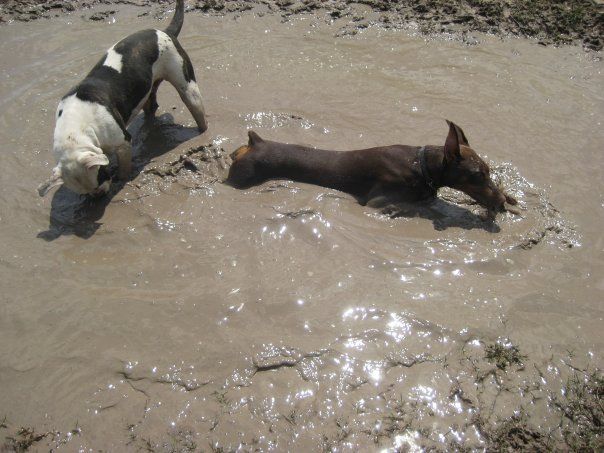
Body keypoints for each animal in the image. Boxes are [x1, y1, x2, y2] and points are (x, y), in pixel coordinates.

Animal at [39, 0, 208, 198]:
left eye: (100, 176)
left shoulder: (122, 143)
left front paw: (121, 180)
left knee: (197, 111)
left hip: (187, 86)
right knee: (151, 107)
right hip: (147, 87)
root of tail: (165, 31)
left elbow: (124, 167)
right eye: (85, 192)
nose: (99, 196)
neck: (75, 131)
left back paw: (202, 131)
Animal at [224, 120, 516, 219]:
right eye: (477, 175)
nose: (500, 200)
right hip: (242, 178)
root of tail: (255, 142)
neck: (421, 167)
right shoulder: (378, 201)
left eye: (490, 171)